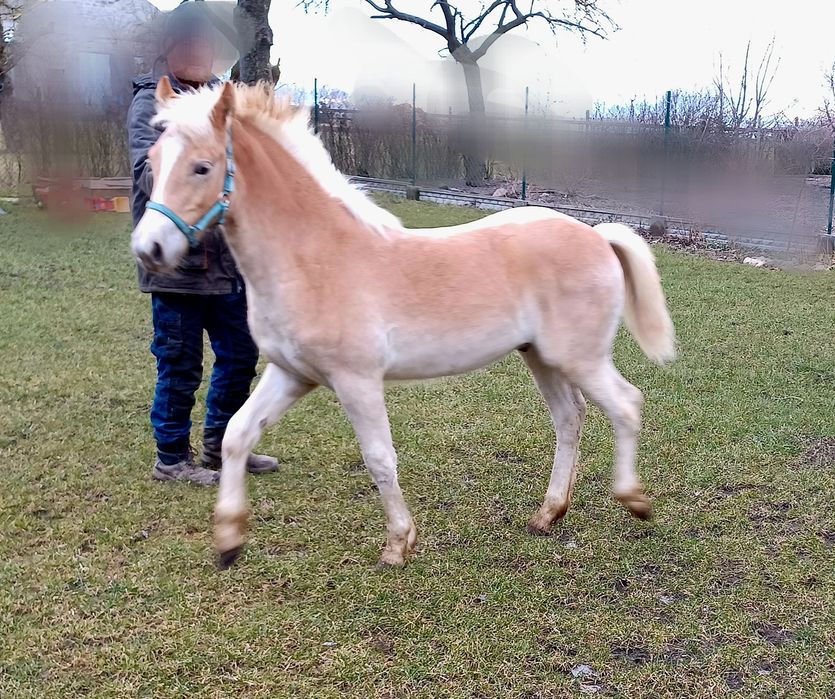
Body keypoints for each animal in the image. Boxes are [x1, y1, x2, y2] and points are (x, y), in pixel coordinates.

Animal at [132, 78, 680, 568]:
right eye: (152, 163)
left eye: (202, 167)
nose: (149, 249)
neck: (315, 257)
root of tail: (597, 234)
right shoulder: (292, 374)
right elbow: (236, 435)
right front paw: (229, 539)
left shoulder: (356, 380)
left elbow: (379, 457)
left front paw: (398, 544)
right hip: (541, 356)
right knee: (570, 418)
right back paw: (548, 515)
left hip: (578, 357)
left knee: (626, 404)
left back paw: (634, 501)